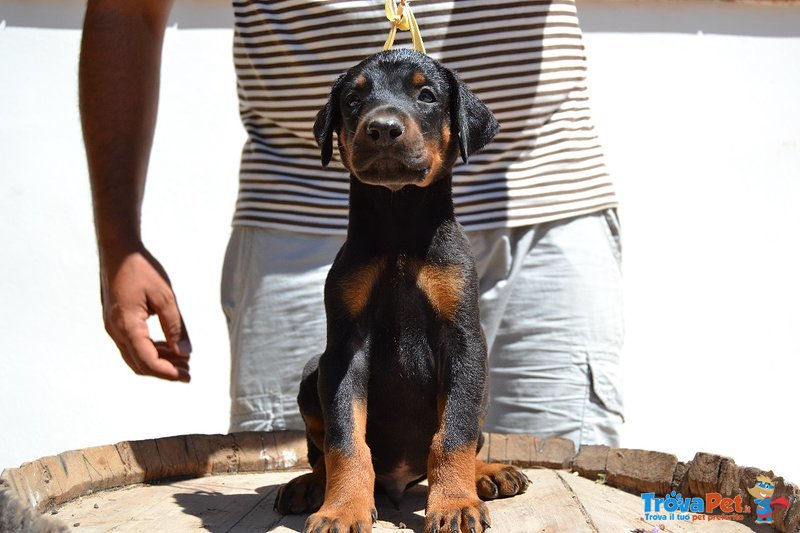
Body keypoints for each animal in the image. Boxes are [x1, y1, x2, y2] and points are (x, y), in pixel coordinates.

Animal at [276, 50, 532, 532]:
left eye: (427, 95)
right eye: (353, 99)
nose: (382, 128)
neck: (398, 227)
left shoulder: (463, 340)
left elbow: (454, 433)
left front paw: (455, 504)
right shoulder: (344, 348)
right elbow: (344, 440)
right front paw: (341, 509)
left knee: (473, 434)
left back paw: (488, 474)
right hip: (311, 374)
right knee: (320, 452)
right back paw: (310, 485)